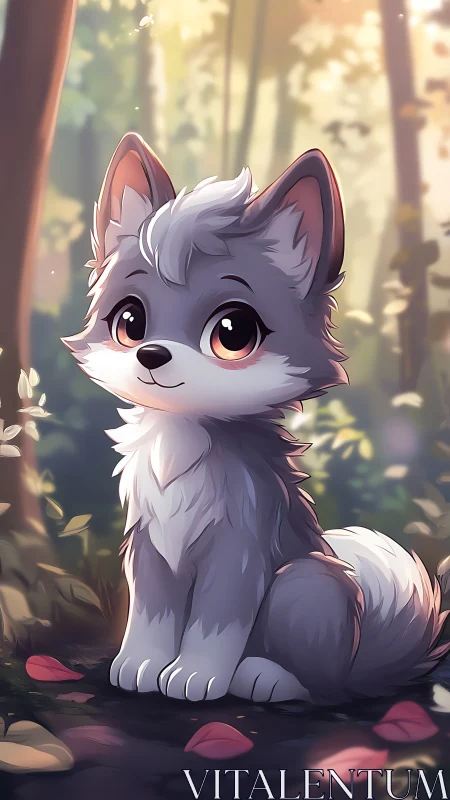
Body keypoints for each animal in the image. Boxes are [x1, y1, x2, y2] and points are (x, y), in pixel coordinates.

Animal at [63, 132, 449, 704]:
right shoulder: (151, 544)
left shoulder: (240, 548)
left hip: (305, 585)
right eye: (130, 321)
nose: (151, 355)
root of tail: (364, 662)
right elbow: (152, 613)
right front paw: (141, 664)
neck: (184, 443)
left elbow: (216, 621)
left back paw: (266, 676)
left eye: (233, 332)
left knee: (322, 686)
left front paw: (195, 676)